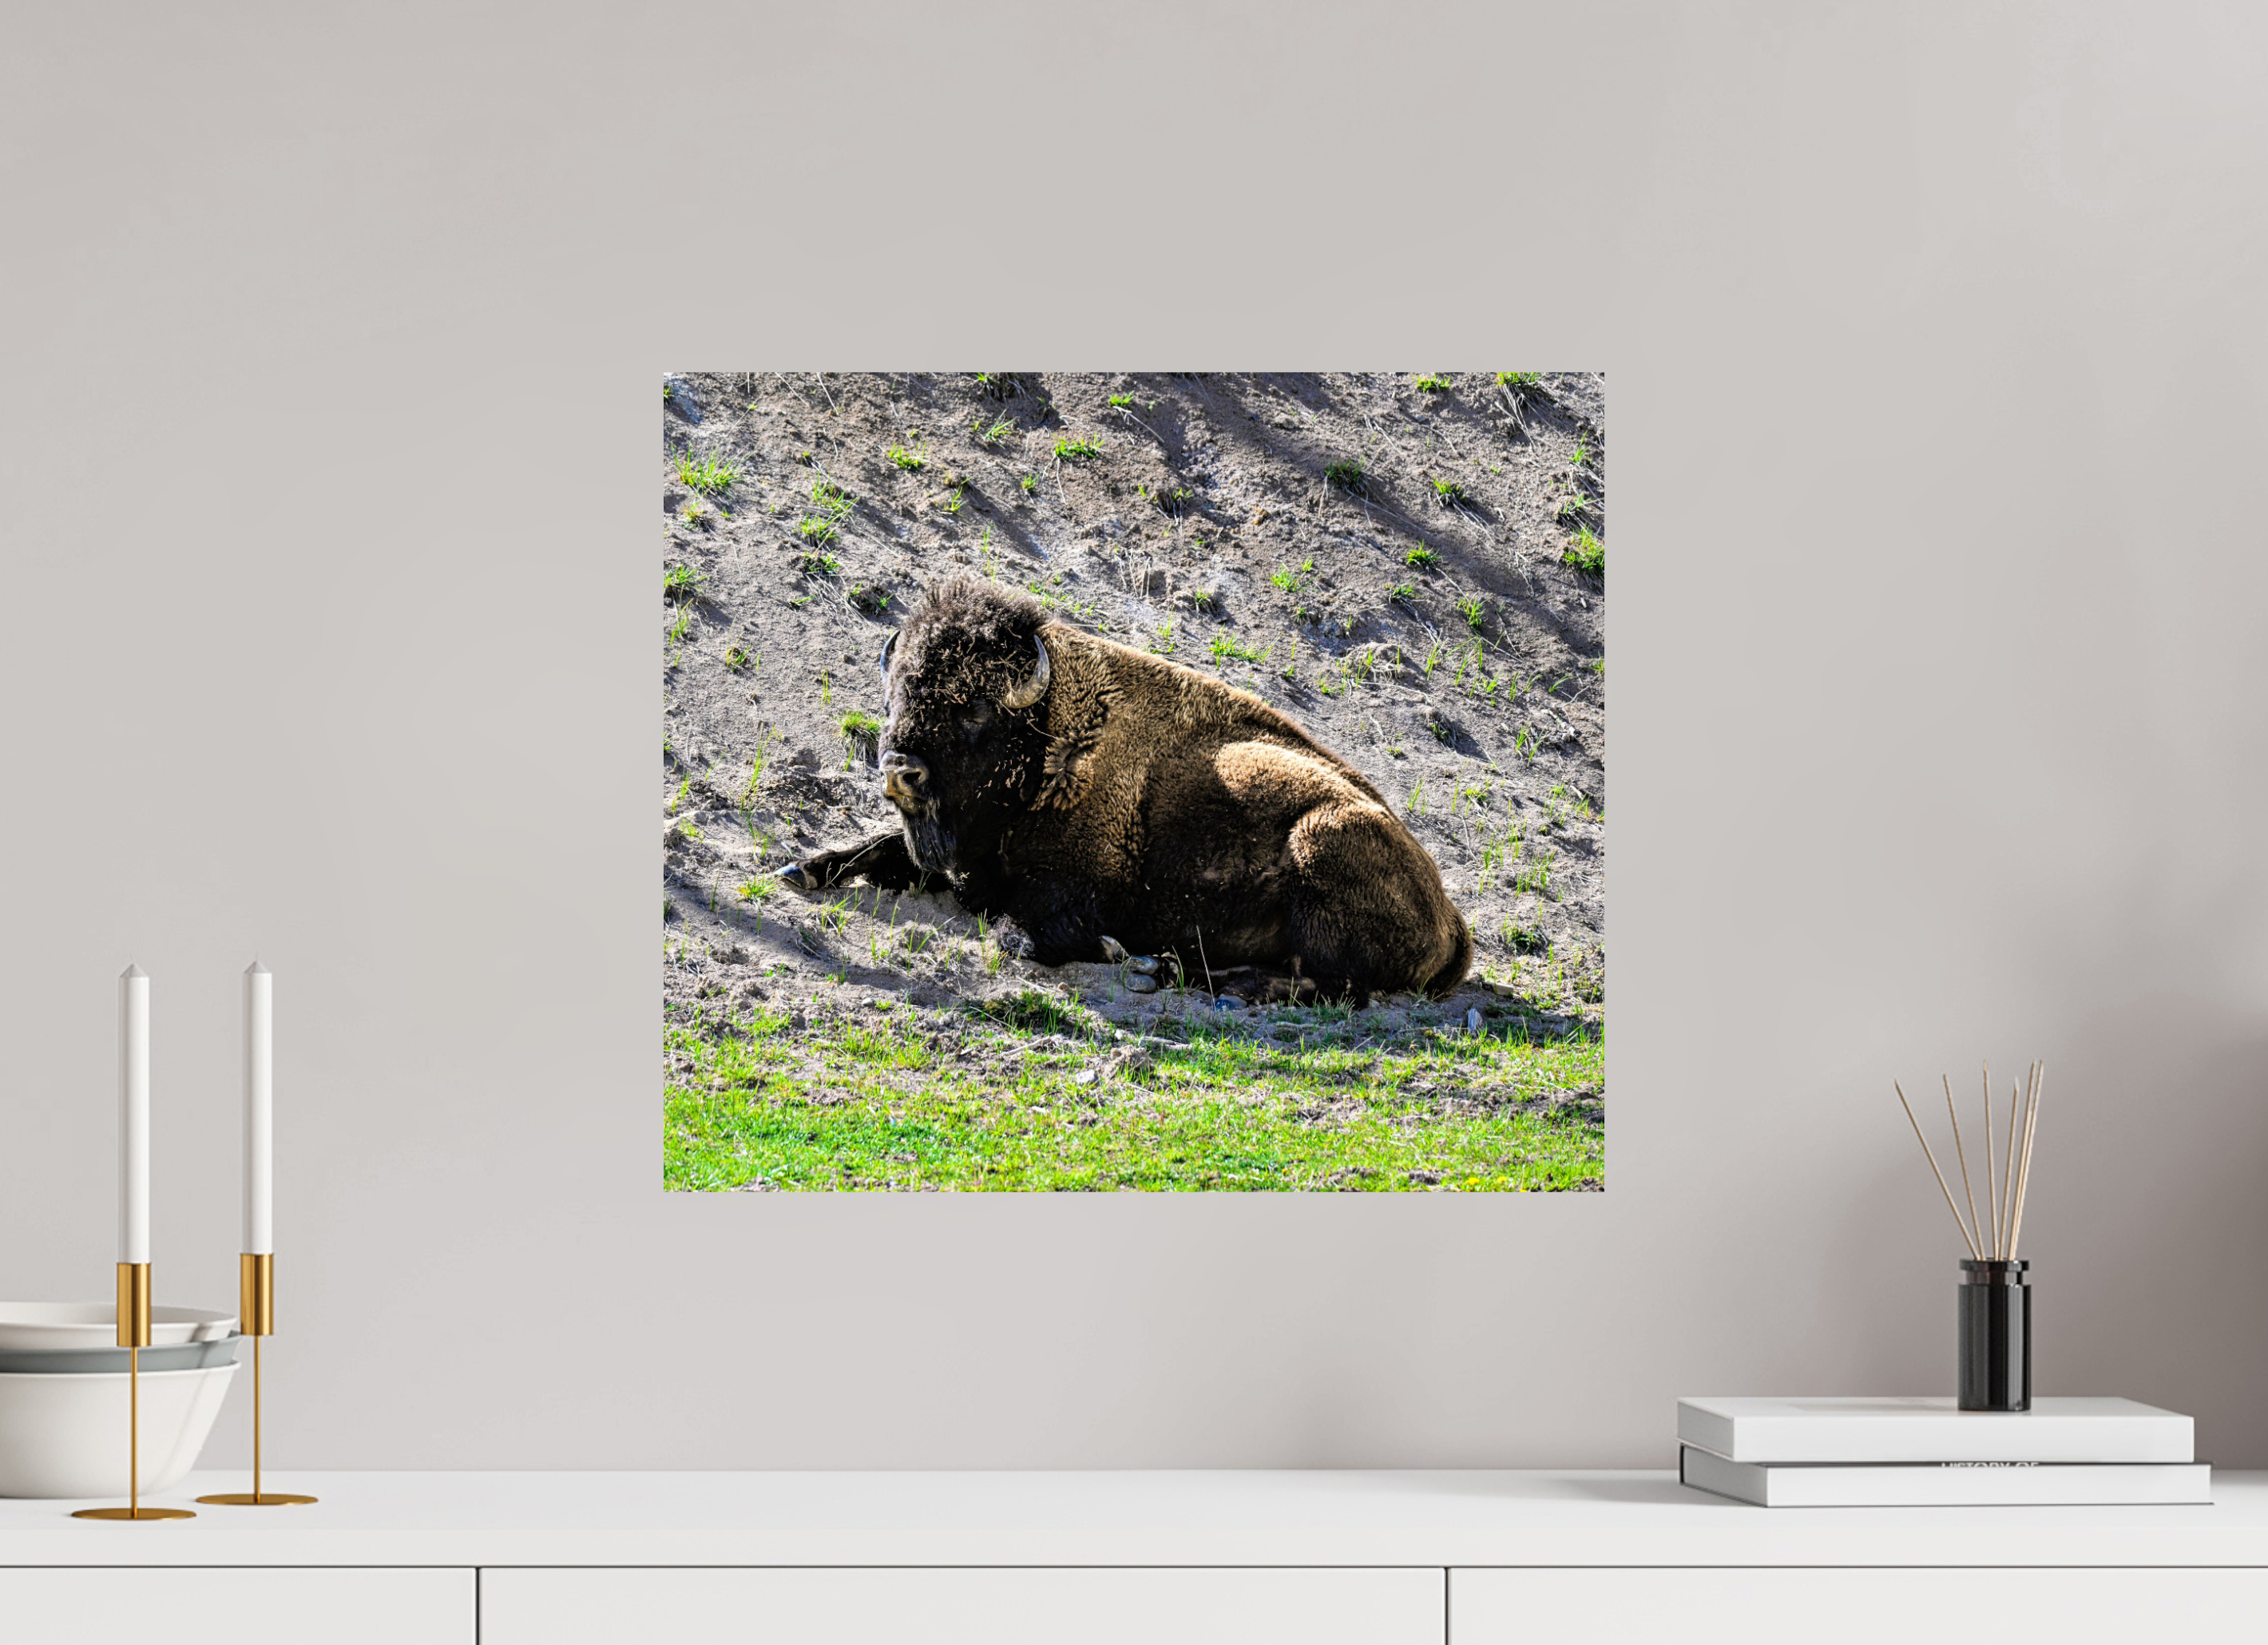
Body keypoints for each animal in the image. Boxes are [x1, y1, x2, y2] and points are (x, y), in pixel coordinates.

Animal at [782, 577, 1472, 1005]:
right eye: (895, 693)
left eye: (975, 708)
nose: (899, 767)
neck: (1049, 741)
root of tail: (1453, 920)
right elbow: (880, 848)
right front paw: (803, 868)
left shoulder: (1071, 895)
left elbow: (1019, 930)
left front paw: (1112, 950)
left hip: (1318, 842)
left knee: (1332, 986)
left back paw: (1201, 980)